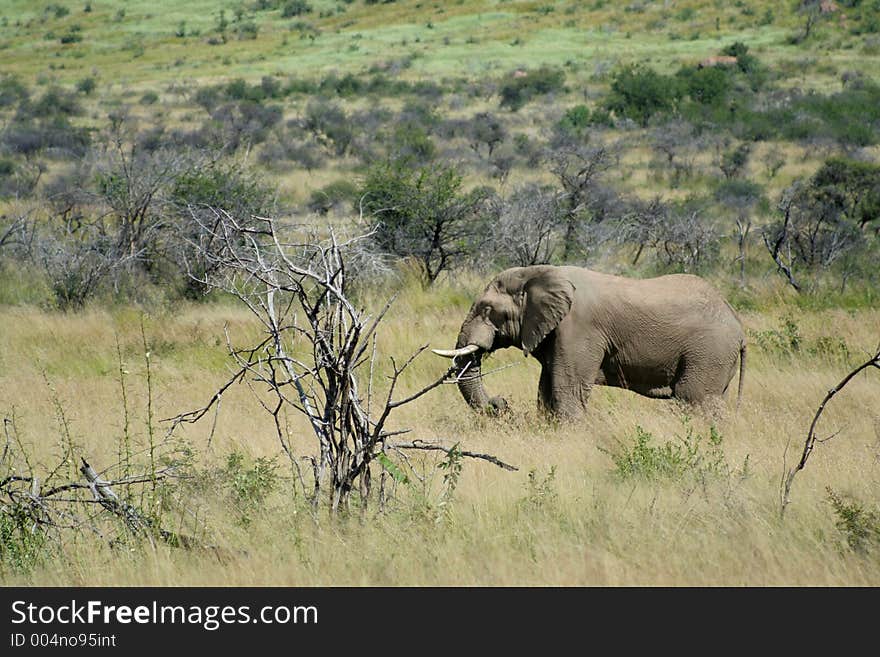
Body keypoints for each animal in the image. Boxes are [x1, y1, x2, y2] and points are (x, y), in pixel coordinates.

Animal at [432, 266, 744, 416]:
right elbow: (546, 389)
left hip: (709, 351)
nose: (500, 404)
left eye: (487, 309)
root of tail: (738, 324)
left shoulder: (578, 328)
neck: (537, 272)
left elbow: (565, 389)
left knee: (693, 398)